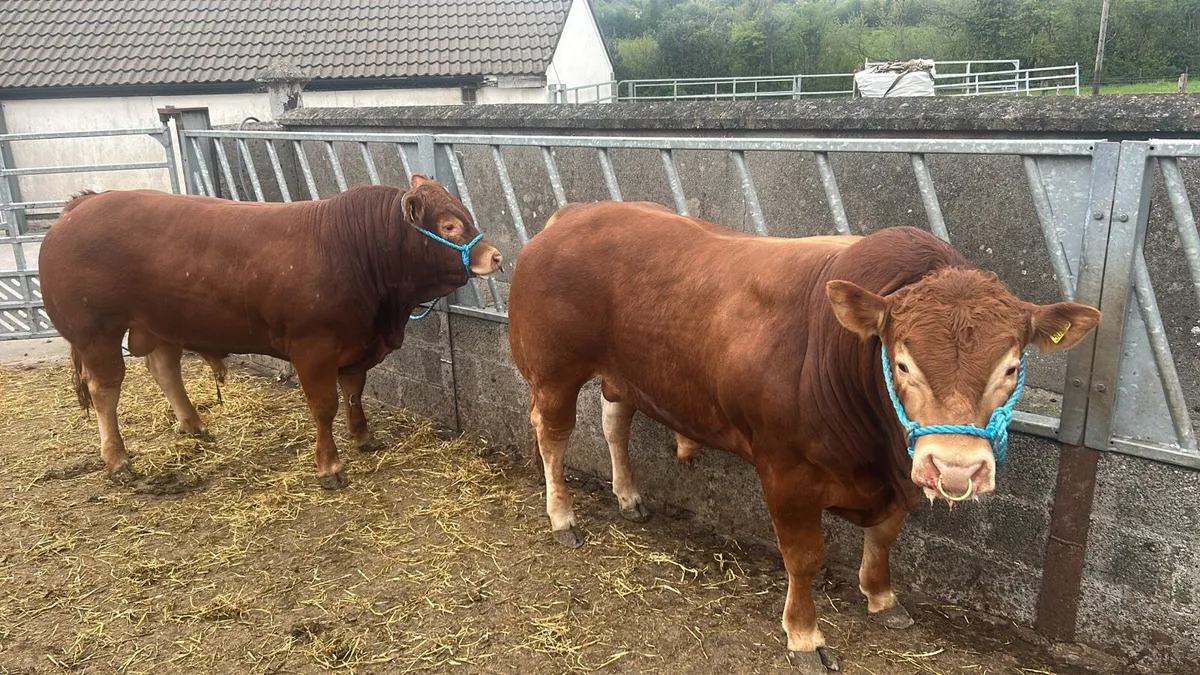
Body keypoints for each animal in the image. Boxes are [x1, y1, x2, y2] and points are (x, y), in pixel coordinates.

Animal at [38, 175, 501, 489]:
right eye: (449, 226)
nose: (495, 256)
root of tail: (82, 205)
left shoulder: (358, 344)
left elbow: (354, 392)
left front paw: (364, 437)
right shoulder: (314, 347)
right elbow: (324, 405)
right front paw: (329, 466)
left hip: (160, 322)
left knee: (165, 369)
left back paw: (195, 425)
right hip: (96, 332)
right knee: (104, 390)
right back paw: (117, 460)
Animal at [507, 201, 1100, 673]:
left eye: (1011, 367)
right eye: (902, 362)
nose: (955, 468)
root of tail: (574, 213)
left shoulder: (898, 478)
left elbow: (884, 539)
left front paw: (883, 599)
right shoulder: (785, 471)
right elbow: (804, 556)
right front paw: (804, 635)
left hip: (628, 374)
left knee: (615, 423)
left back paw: (629, 498)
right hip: (553, 370)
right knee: (553, 437)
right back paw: (562, 517)